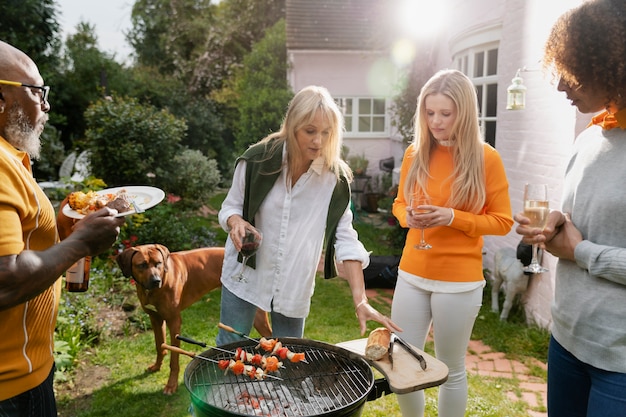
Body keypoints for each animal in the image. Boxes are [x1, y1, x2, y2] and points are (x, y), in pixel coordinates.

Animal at [116, 244, 270, 394]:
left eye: (158, 263)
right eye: (142, 265)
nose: (156, 281)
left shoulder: (174, 322)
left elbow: (174, 359)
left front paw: (171, 385)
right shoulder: (155, 319)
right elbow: (160, 346)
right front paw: (156, 366)